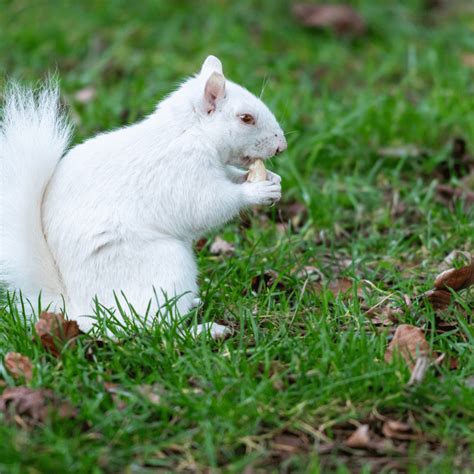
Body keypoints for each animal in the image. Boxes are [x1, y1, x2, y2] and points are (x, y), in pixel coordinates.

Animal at [0, 56, 286, 336]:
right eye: (246, 118)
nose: (281, 146)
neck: (189, 131)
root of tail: (80, 312)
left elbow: (230, 176)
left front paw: (271, 179)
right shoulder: (182, 174)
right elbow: (208, 204)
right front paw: (256, 191)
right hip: (165, 264)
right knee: (158, 328)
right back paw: (205, 330)